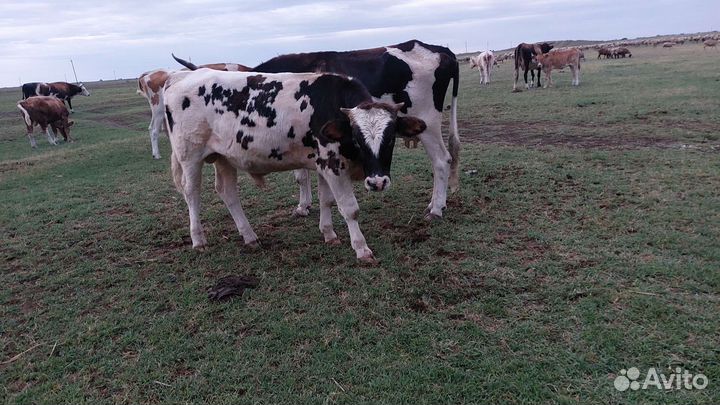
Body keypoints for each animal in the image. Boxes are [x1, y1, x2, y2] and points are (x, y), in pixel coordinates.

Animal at [162, 69, 426, 262]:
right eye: (358, 139)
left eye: (391, 138)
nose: (377, 182)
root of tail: (179, 76)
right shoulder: (333, 164)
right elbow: (349, 208)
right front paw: (361, 249)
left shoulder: (322, 163)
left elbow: (326, 201)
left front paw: (328, 233)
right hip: (190, 156)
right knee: (192, 193)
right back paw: (198, 240)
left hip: (224, 157)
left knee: (228, 193)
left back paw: (249, 237)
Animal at [172, 39, 460, 220]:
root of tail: (439, 50)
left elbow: (302, 175)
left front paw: (303, 206)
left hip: (427, 124)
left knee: (441, 160)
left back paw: (436, 208)